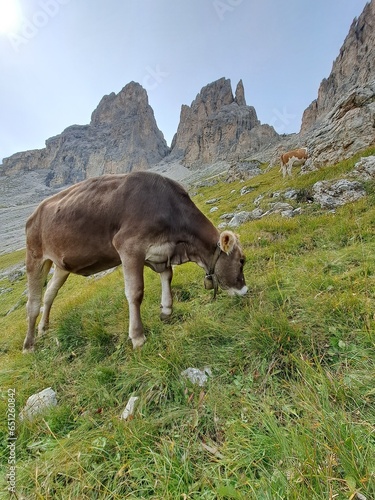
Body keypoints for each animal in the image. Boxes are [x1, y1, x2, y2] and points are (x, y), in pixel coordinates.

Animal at [22, 172, 248, 352]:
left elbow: (168, 276)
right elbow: (136, 292)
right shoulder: (130, 247)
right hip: (35, 257)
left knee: (49, 295)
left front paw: (166, 310)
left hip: (61, 266)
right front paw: (138, 337)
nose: (245, 291)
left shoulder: (158, 252)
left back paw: (43, 329)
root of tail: (34, 213)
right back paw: (29, 345)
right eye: (242, 261)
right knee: (33, 303)